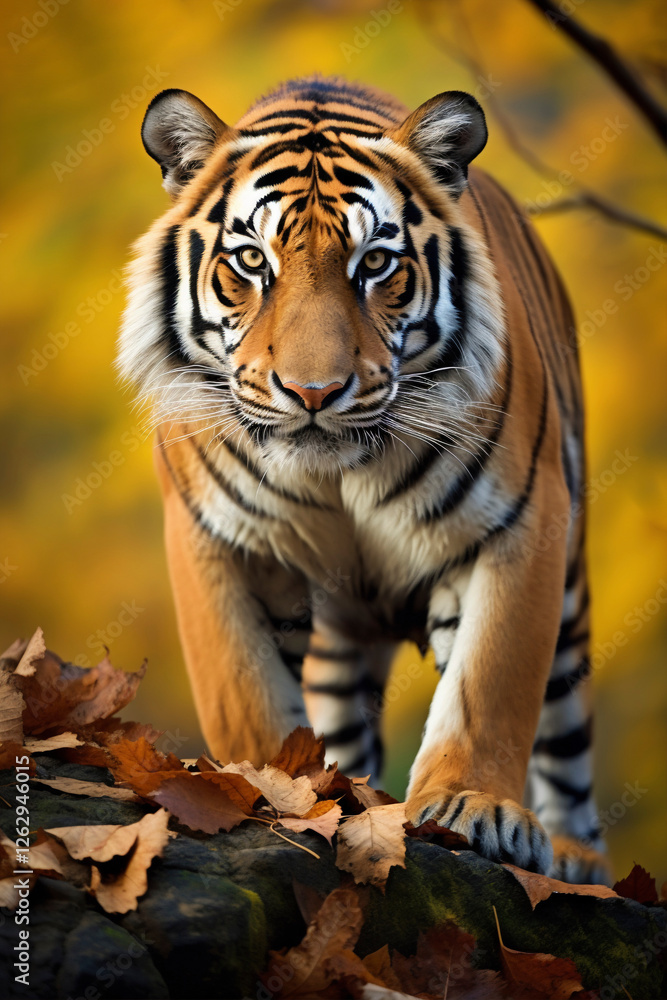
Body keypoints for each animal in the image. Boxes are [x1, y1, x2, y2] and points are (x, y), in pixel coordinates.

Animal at [117, 75, 610, 883]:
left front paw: (476, 810)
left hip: (568, 596)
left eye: (375, 265)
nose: (313, 392)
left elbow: (489, 683)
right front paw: (260, 786)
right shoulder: (212, 536)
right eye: (251, 262)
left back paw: (574, 861)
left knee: (565, 745)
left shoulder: (521, 523)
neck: (339, 480)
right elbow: (243, 690)